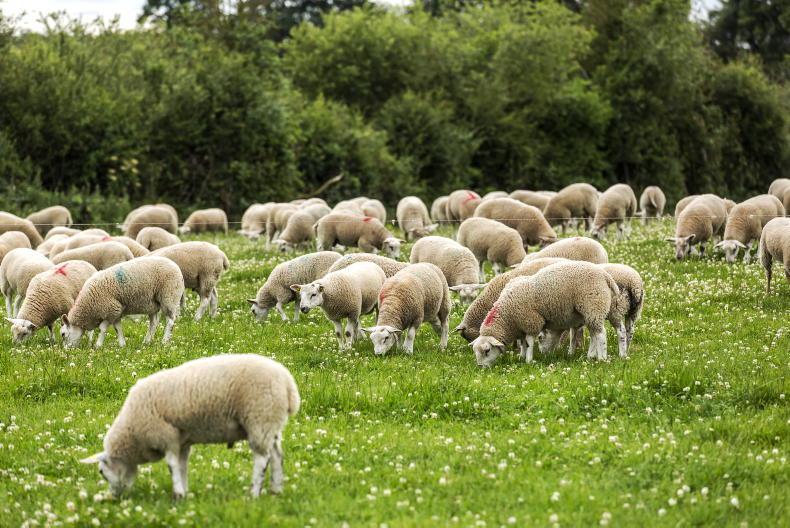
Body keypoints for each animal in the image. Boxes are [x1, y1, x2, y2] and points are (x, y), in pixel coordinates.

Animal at [80, 354, 299, 499]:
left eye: (101, 472)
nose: (113, 497)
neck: (132, 435)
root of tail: (288, 384)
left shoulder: (165, 436)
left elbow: (172, 466)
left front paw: (177, 493)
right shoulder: (182, 441)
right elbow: (182, 465)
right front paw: (184, 492)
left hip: (259, 418)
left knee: (262, 459)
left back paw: (254, 493)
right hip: (271, 423)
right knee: (277, 455)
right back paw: (276, 489)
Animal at [471, 261, 618, 367]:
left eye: (487, 350)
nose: (480, 367)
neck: (507, 316)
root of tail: (605, 275)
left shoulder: (531, 321)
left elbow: (529, 342)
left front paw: (528, 360)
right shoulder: (522, 326)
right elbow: (523, 342)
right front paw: (521, 356)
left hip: (594, 305)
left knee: (601, 334)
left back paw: (602, 358)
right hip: (589, 312)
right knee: (594, 333)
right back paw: (590, 356)